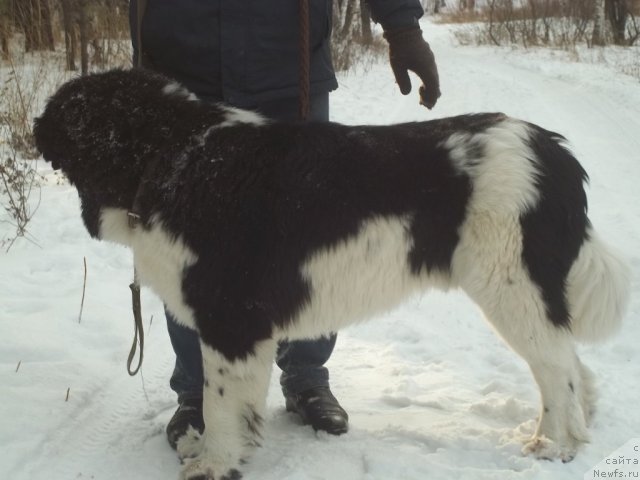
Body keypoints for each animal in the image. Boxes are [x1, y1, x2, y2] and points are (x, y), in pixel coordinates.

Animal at [32, 68, 628, 480]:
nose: (35, 130)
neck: (172, 156)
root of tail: (552, 150)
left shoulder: (230, 320)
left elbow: (222, 403)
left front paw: (215, 463)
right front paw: (207, 447)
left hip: (510, 285)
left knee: (556, 367)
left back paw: (554, 444)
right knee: (566, 358)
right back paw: (576, 428)